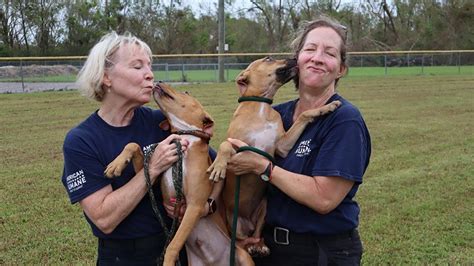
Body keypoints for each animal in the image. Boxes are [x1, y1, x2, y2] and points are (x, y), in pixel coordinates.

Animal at [104, 82, 256, 266]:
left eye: (186, 91)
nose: (158, 81)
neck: (184, 141)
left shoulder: (194, 205)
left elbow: (173, 245)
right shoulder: (150, 176)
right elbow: (133, 144)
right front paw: (116, 165)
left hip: (243, 256)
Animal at [207, 56, 340, 258]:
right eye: (268, 59)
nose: (294, 57)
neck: (260, 106)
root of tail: (247, 223)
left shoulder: (282, 145)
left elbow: (304, 114)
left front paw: (326, 107)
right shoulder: (236, 143)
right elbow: (225, 145)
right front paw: (219, 165)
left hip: (264, 208)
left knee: (256, 234)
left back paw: (260, 245)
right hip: (234, 222)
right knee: (241, 241)